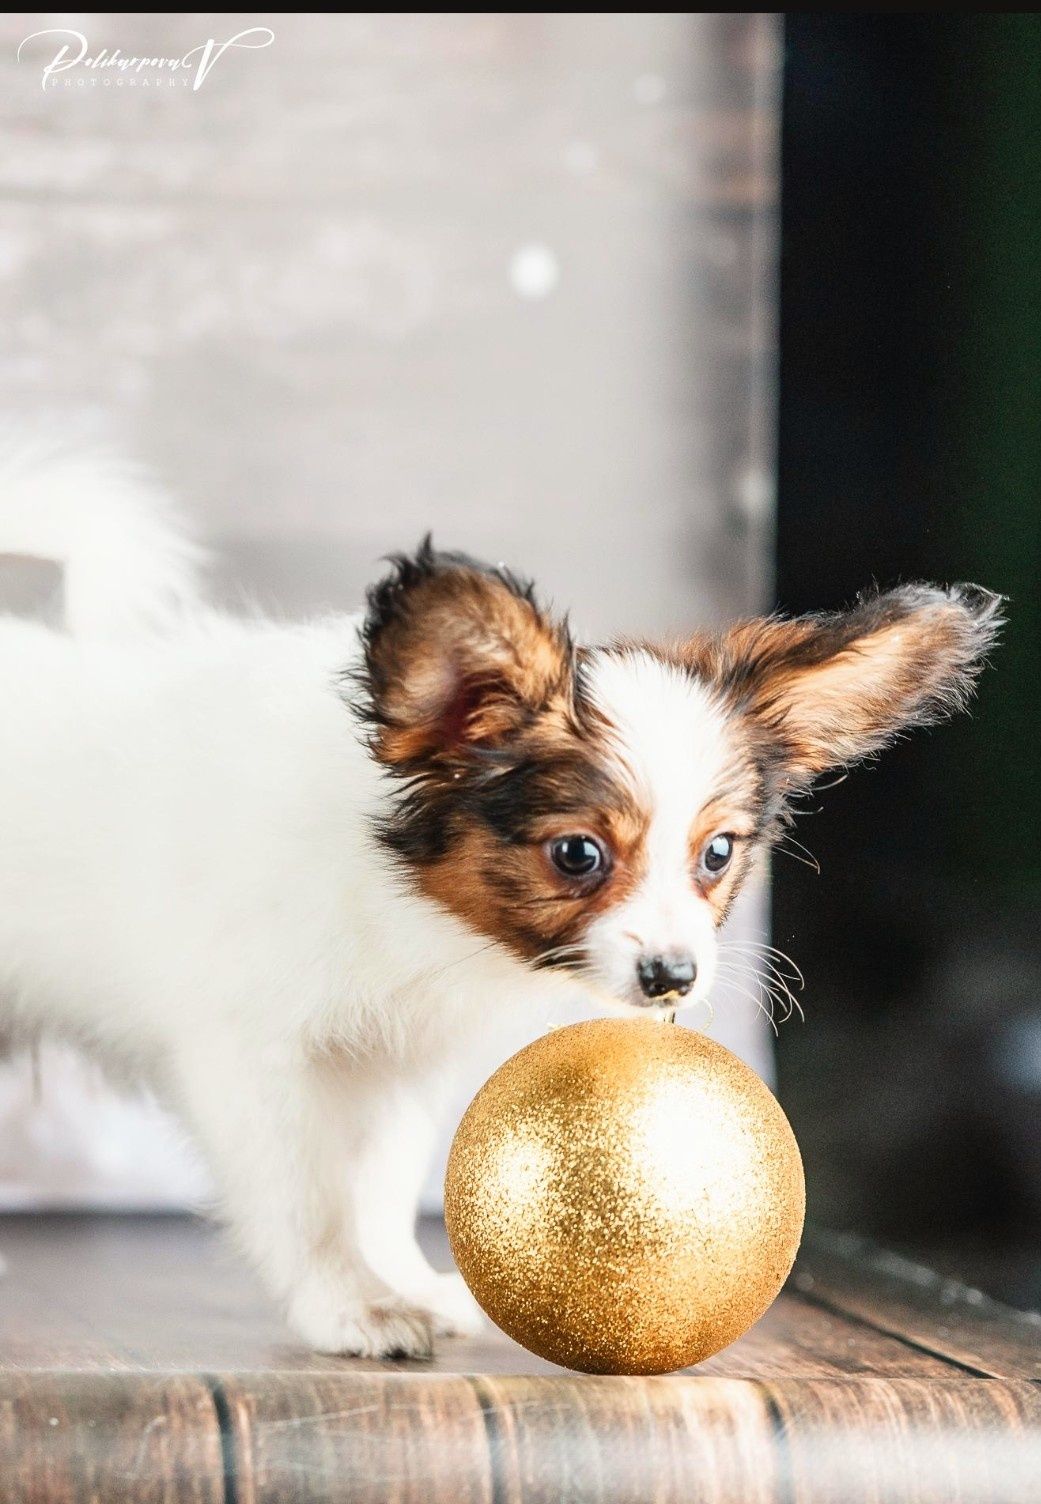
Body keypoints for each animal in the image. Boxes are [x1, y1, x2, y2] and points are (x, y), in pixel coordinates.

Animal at [0, 439, 1004, 1359]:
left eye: (717, 854)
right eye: (577, 854)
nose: (672, 977)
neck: (405, 900)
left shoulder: (391, 1066)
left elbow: (375, 1191)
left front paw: (404, 1284)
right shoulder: (253, 1056)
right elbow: (306, 1200)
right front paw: (349, 1308)